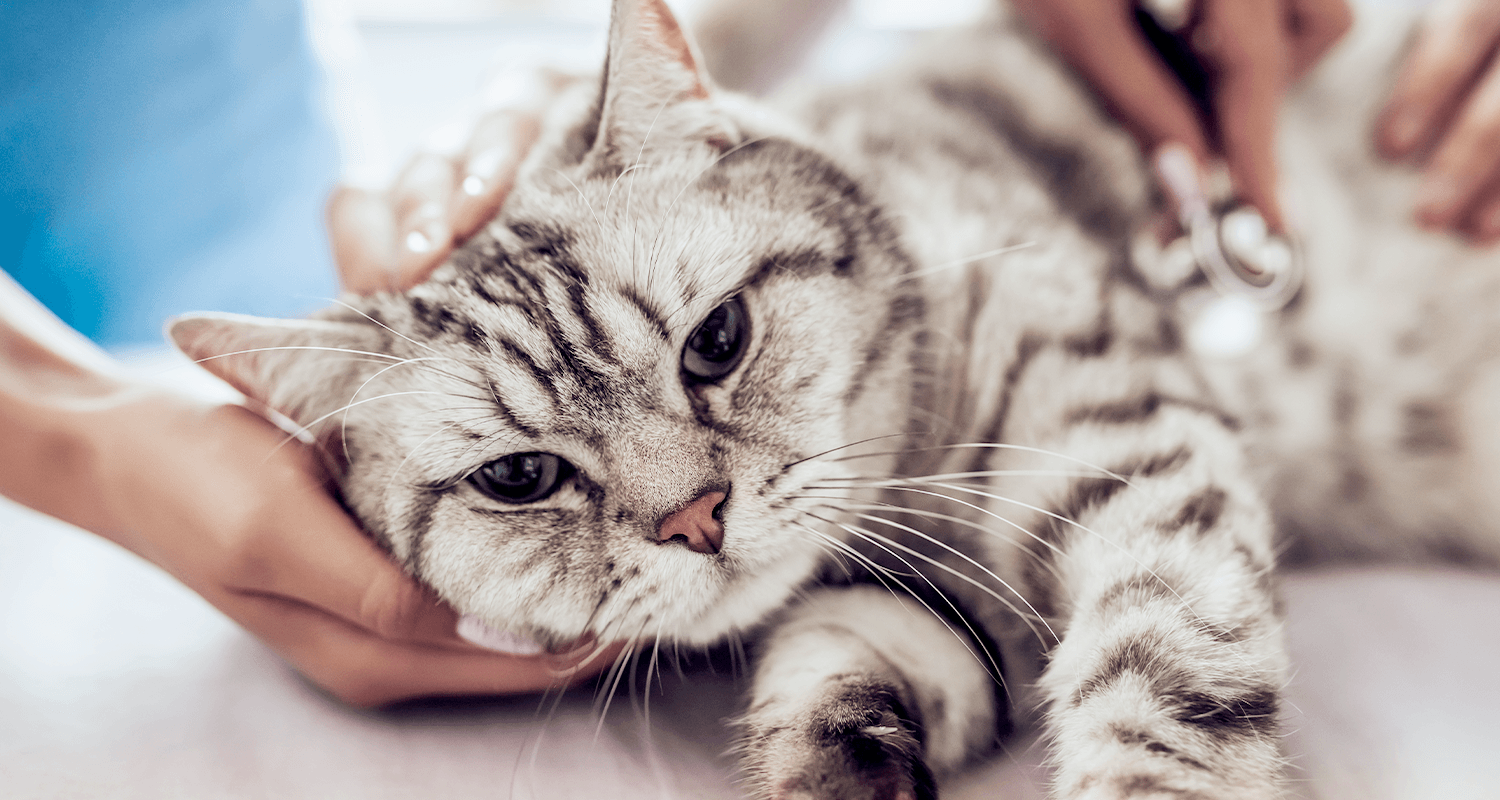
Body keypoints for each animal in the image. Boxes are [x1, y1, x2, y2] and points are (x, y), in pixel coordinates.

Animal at [164, 0, 1500, 792]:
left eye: (717, 341)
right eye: (520, 476)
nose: (695, 518)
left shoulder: (1136, 459)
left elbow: (1154, 688)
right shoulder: (906, 620)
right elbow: (826, 689)